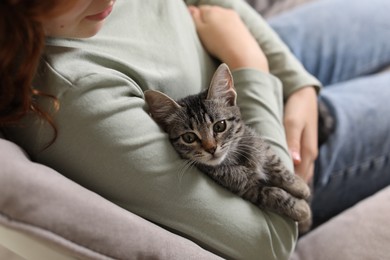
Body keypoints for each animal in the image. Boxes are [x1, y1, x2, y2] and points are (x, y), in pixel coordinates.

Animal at [145, 64, 312, 231]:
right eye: (189, 138)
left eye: (220, 126)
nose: (211, 148)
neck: (233, 157)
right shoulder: (246, 189)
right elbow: (271, 194)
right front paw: (301, 208)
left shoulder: (259, 144)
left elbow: (277, 166)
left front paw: (300, 186)